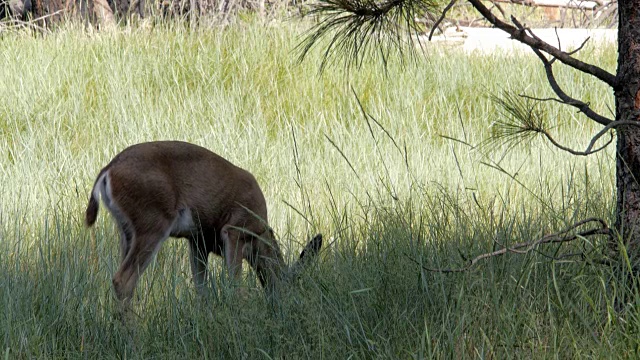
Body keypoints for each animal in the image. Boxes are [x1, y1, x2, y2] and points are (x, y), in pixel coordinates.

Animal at [85, 141, 322, 310]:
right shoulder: (234, 230)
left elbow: (201, 289)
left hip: (126, 230)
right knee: (123, 280)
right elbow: (235, 286)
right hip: (152, 221)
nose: (282, 305)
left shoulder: (197, 241)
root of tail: (108, 170)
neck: (259, 235)